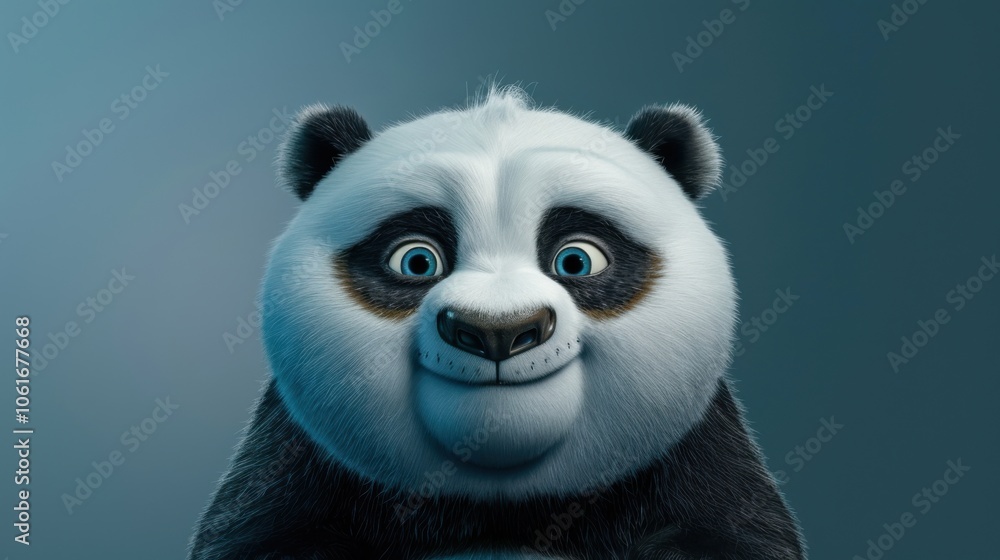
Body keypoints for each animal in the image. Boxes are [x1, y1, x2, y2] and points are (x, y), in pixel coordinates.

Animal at [189, 87, 806, 560]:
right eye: (416, 260)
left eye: (577, 260)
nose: (498, 331)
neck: (500, 503)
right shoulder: (295, 458)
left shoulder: (699, 455)